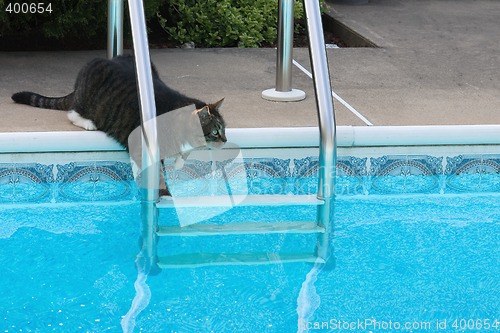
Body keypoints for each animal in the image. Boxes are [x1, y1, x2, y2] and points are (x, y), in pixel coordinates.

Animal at [11, 53, 227, 195]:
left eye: (224, 128)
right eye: (216, 131)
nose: (225, 140)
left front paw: (180, 160)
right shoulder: (142, 144)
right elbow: (155, 173)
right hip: (86, 99)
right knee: (72, 112)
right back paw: (88, 122)